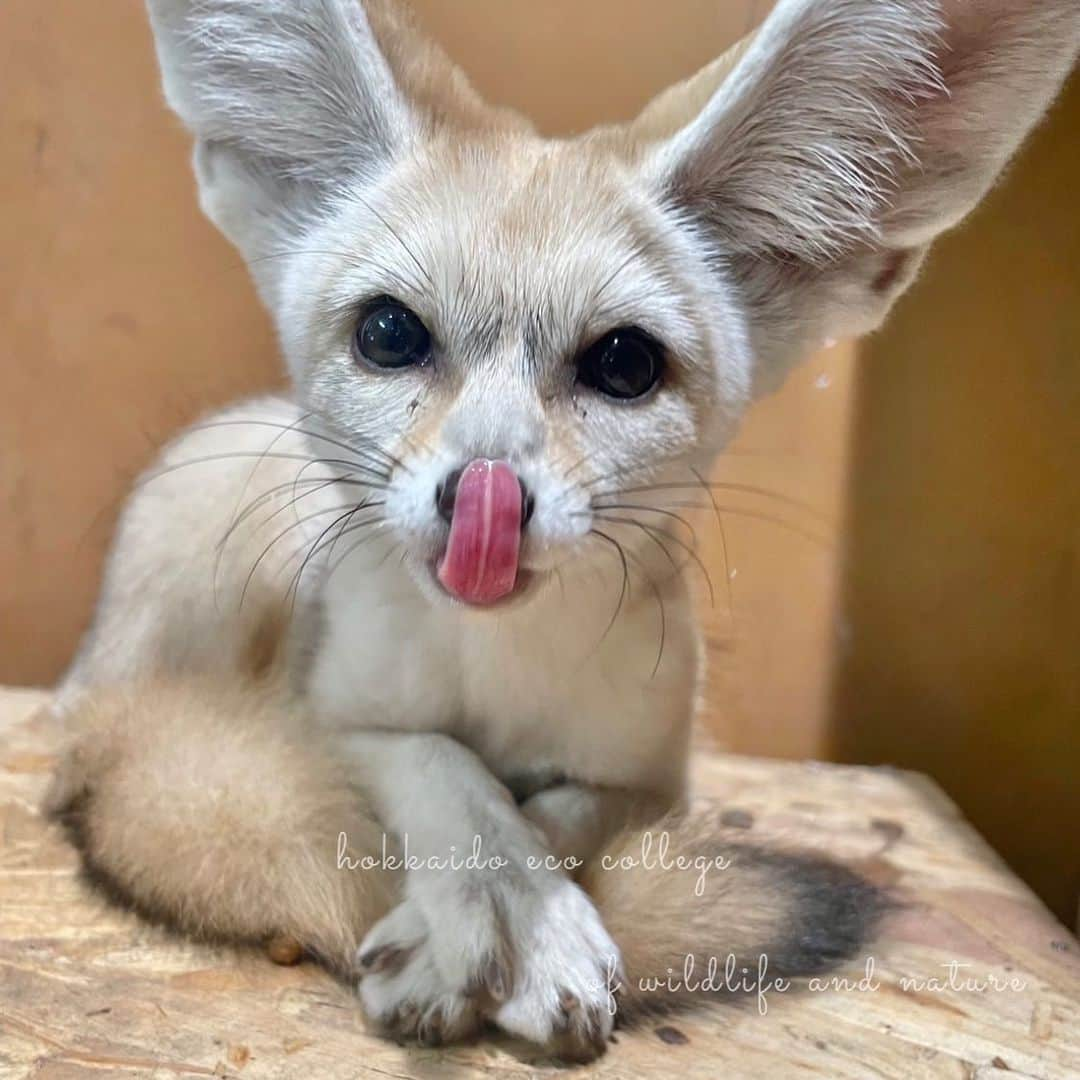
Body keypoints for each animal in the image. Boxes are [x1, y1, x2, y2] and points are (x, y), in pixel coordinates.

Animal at [50, 0, 1080, 1062]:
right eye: (389, 334)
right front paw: (491, 901)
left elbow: (560, 809)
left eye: (624, 364)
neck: (501, 667)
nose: (484, 499)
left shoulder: (651, 782)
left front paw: (523, 908)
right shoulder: (328, 718)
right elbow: (441, 763)